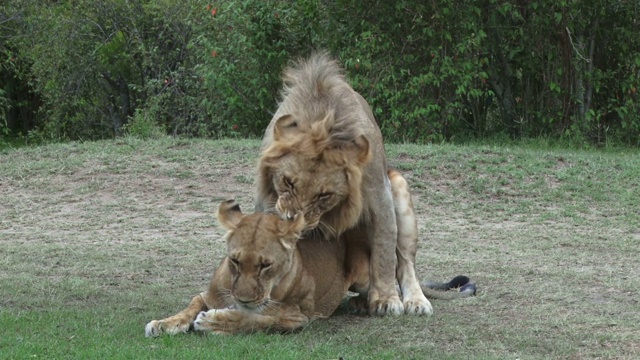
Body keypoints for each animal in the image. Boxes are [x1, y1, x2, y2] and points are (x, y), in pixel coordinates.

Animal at [145, 197, 476, 338]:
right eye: (235, 260)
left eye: (266, 266)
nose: (242, 298)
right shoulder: (207, 294)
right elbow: (189, 307)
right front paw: (164, 323)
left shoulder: (297, 318)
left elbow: (257, 320)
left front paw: (214, 321)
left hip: (368, 272)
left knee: (390, 285)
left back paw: (366, 303)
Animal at [254, 52, 424, 316]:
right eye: (288, 183)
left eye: (324, 195)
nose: (294, 220)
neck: (322, 122)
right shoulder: (266, 201)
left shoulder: (380, 194)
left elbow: (385, 252)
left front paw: (386, 299)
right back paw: (360, 302)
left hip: (399, 186)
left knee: (405, 263)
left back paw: (416, 301)